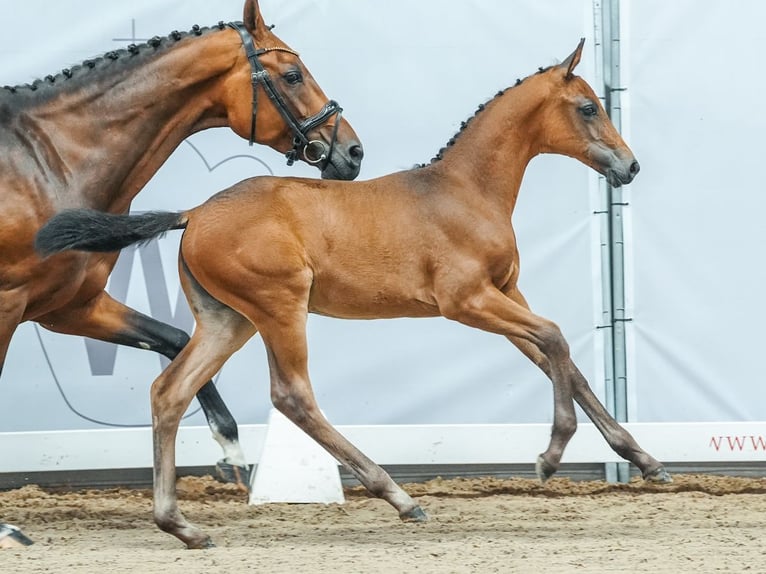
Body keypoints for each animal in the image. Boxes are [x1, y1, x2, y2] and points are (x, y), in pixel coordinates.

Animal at [2, 0, 364, 490]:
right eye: (292, 75)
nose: (353, 152)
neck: (45, 166)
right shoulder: (10, 306)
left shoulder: (70, 307)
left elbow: (172, 339)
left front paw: (232, 451)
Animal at [36, 38, 672, 552]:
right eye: (588, 107)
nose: (630, 166)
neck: (465, 191)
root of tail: (192, 213)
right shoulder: (466, 302)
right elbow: (556, 339)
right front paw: (550, 456)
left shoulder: (506, 293)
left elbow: (562, 361)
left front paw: (646, 461)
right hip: (280, 308)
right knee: (292, 396)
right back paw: (398, 496)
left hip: (228, 321)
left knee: (171, 391)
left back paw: (181, 526)